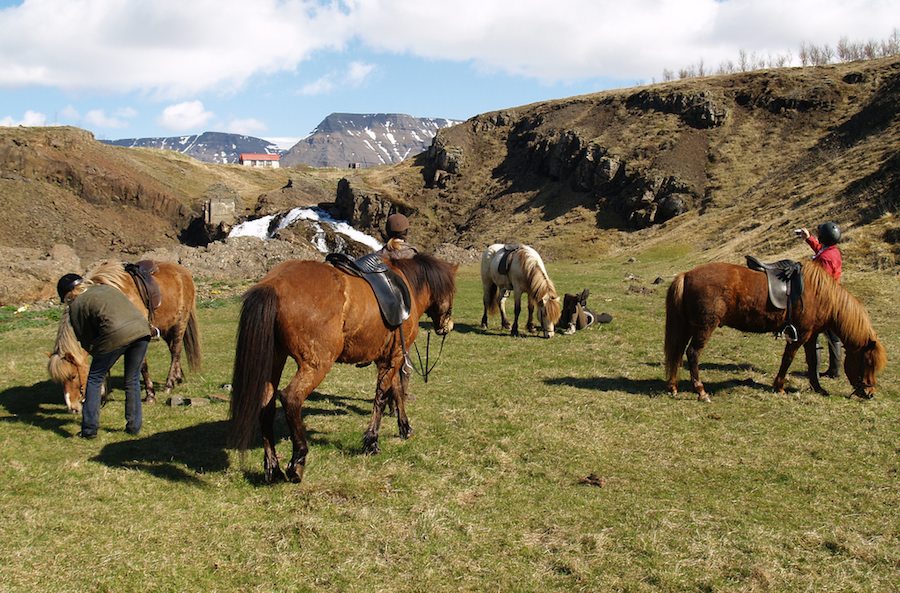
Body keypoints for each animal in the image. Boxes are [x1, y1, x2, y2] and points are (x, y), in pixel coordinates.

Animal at [47, 260, 200, 412]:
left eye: (73, 376)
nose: (73, 408)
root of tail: (184, 272)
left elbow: (142, 366)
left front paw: (150, 395)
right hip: (166, 327)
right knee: (174, 351)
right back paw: (177, 379)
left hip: (180, 323)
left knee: (175, 351)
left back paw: (169, 384)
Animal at [229, 252, 460, 484]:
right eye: (452, 291)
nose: (447, 326)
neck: (406, 288)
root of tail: (274, 284)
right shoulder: (393, 359)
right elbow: (382, 397)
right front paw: (372, 442)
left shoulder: (388, 358)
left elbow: (395, 392)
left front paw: (404, 428)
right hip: (316, 364)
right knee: (291, 398)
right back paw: (298, 461)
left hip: (275, 358)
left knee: (266, 406)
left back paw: (272, 468)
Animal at [664, 260, 888, 402]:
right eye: (868, 362)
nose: (870, 393)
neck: (821, 295)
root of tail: (686, 275)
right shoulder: (800, 335)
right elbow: (787, 360)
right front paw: (779, 387)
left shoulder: (811, 336)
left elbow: (812, 362)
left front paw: (818, 388)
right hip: (704, 327)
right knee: (692, 353)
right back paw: (701, 392)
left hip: (687, 326)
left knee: (678, 352)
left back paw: (673, 387)